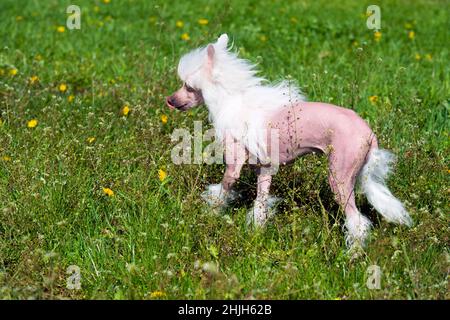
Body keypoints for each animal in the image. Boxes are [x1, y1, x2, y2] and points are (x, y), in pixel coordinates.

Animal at [167, 34, 414, 248]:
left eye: (188, 87)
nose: (169, 100)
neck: (232, 100)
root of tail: (370, 134)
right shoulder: (264, 168)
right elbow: (261, 203)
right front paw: (257, 231)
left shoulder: (234, 165)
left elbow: (222, 191)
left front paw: (210, 214)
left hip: (340, 177)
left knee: (357, 221)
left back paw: (353, 254)